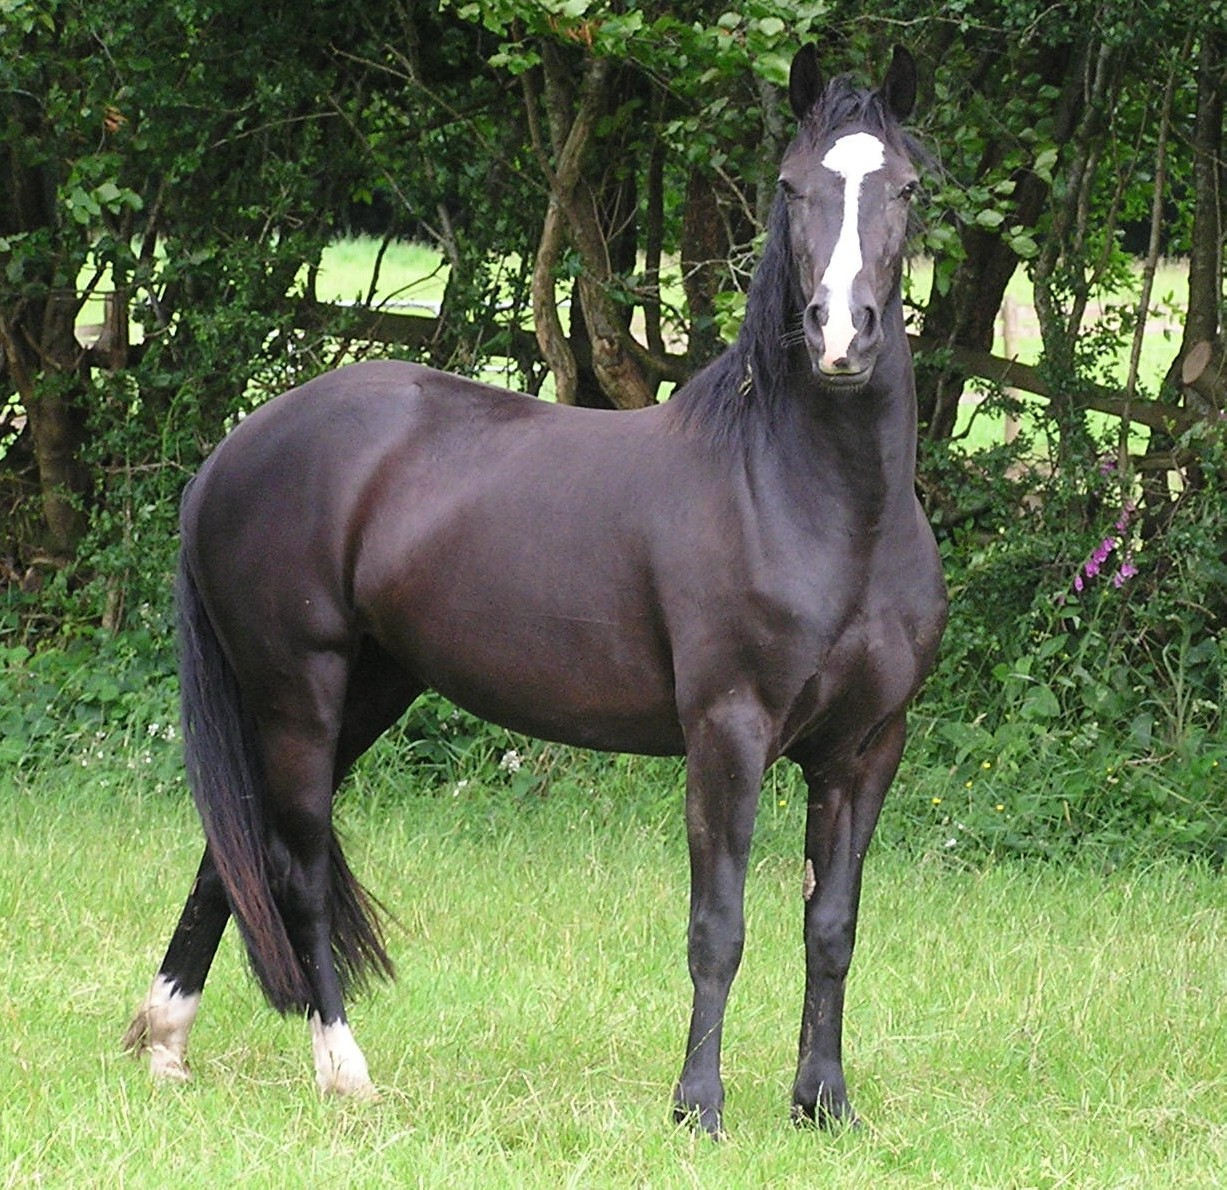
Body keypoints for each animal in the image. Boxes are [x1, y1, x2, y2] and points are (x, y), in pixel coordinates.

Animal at [124, 43, 946, 1135]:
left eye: (904, 189)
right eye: (789, 185)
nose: (840, 337)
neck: (813, 500)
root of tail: (229, 458)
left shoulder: (864, 748)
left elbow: (832, 925)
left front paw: (824, 1105)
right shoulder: (727, 732)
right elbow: (719, 924)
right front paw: (698, 1109)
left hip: (367, 691)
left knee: (234, 856)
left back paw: (165, 1042)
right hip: (298, 691)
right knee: (290, 866)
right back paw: (344, 1072)